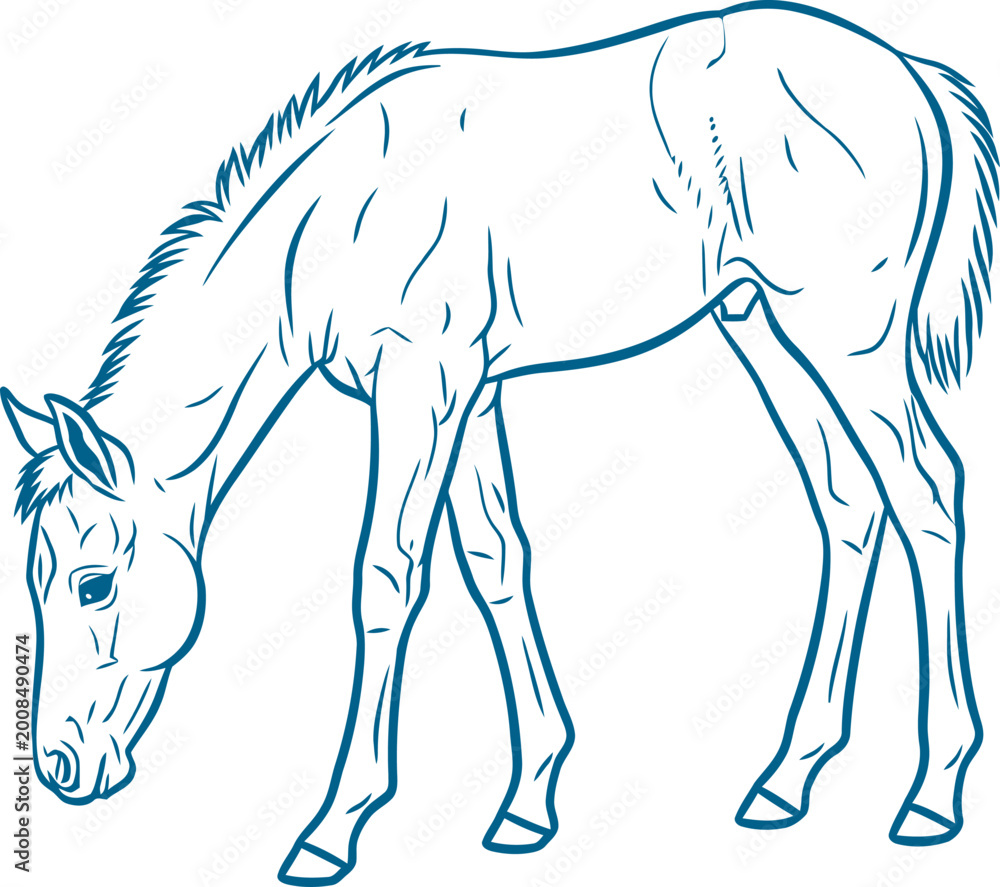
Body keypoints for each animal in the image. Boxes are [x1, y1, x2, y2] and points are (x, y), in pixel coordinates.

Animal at [2, 3, 996, 884]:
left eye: (92, 584)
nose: (59, 768)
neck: (337, 223)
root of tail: (908, 70)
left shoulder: (420, 388)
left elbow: (387, 576)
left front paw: (333, 828)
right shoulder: (471, 395)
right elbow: (495, 559)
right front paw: (528, 801)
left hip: (847, 334)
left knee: (928, 494)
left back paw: (934, 792)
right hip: (760, 324)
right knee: (849, 501)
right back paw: (788, 777)